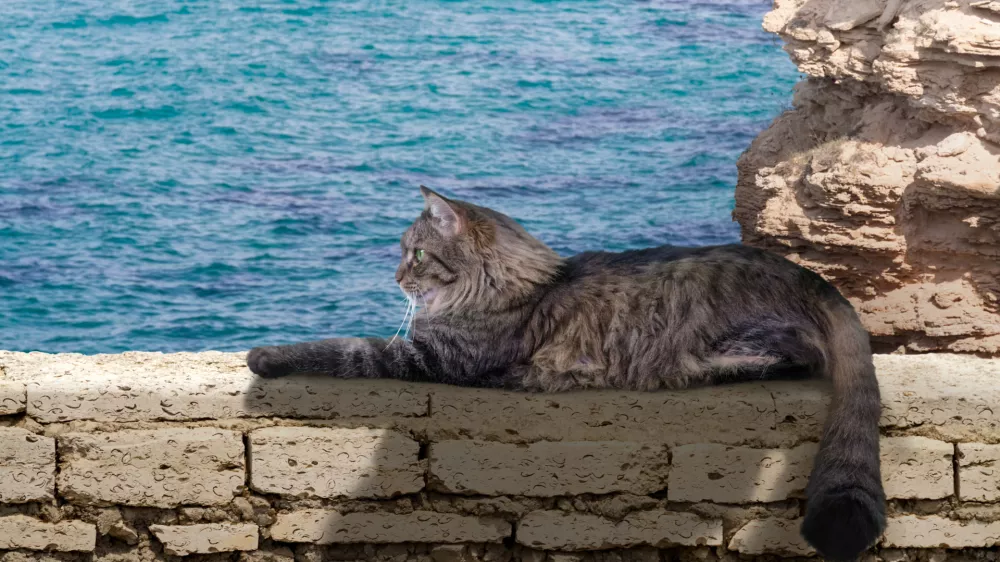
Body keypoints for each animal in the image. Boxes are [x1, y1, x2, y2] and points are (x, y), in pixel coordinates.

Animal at [248, 186, 884, 556]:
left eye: (418, 255)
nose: (396, 277)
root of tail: (812, 277)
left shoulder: (432, 358)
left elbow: (341, 348)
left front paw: (266, 354)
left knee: (793, 359)